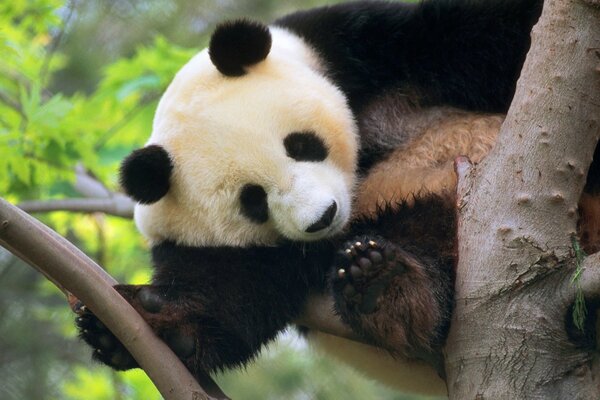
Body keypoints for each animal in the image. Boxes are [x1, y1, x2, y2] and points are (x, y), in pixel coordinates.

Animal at [74, 0, 596, 396]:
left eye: (301, 144)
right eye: (253, 202)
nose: (323, 216)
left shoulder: (366, 47)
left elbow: (489, 34)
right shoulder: (224, 247)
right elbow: (228, 294)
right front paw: (145, 322)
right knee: (426, 233)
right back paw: (383, 286)